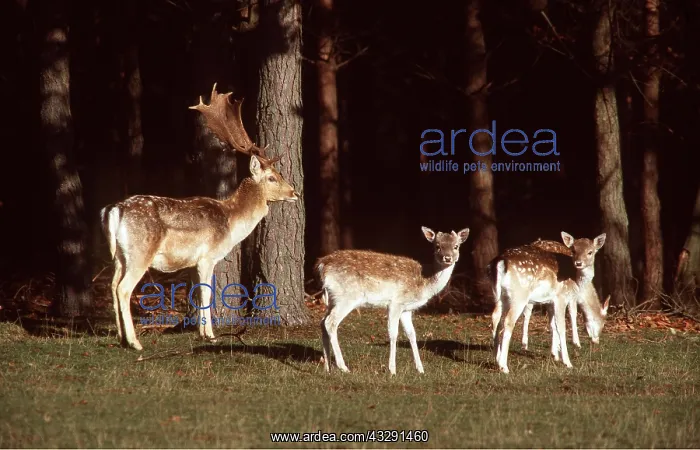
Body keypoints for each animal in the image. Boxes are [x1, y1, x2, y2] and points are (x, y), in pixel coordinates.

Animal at [100, 83, 299, 351]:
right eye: (272, 178)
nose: (295, 192)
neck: (231, 222)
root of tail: (115, 209)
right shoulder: (207, 256)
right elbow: (207, 292)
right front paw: (211, 335)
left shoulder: (193, 262)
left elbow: (197, 292)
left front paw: (202, 331)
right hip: (141, 251)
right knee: (123, 288)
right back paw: (135, 342)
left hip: (120, 254)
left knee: (112, 285)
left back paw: (121, 338)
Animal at [315, 226, 469, 375]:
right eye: (437, 246)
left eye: (456, 246)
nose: (447, 258)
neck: (423, 284)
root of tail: (322, 265)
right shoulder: (396, 303)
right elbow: (393, 333)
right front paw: (392, 370)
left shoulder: (407, 309)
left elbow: (412, 334)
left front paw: (420, 369)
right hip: (347, 296)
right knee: (330, 322)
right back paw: (343, 367)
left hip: (333, 298)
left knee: (322, 322)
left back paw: (327, 367)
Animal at [489, 232, 610, 374]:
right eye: (573, 250)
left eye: (590, 252)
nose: (579, 263)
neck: (577, 282)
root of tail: (500, 261)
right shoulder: (562, 297)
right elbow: (563, 325)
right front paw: (567, 361)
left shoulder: (550, 300)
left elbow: (553, 325)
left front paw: (556, 354)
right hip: (519, 294)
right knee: (508, 321)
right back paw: (504, 366)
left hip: (500, 295)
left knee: (496, 317)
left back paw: (497, 359)